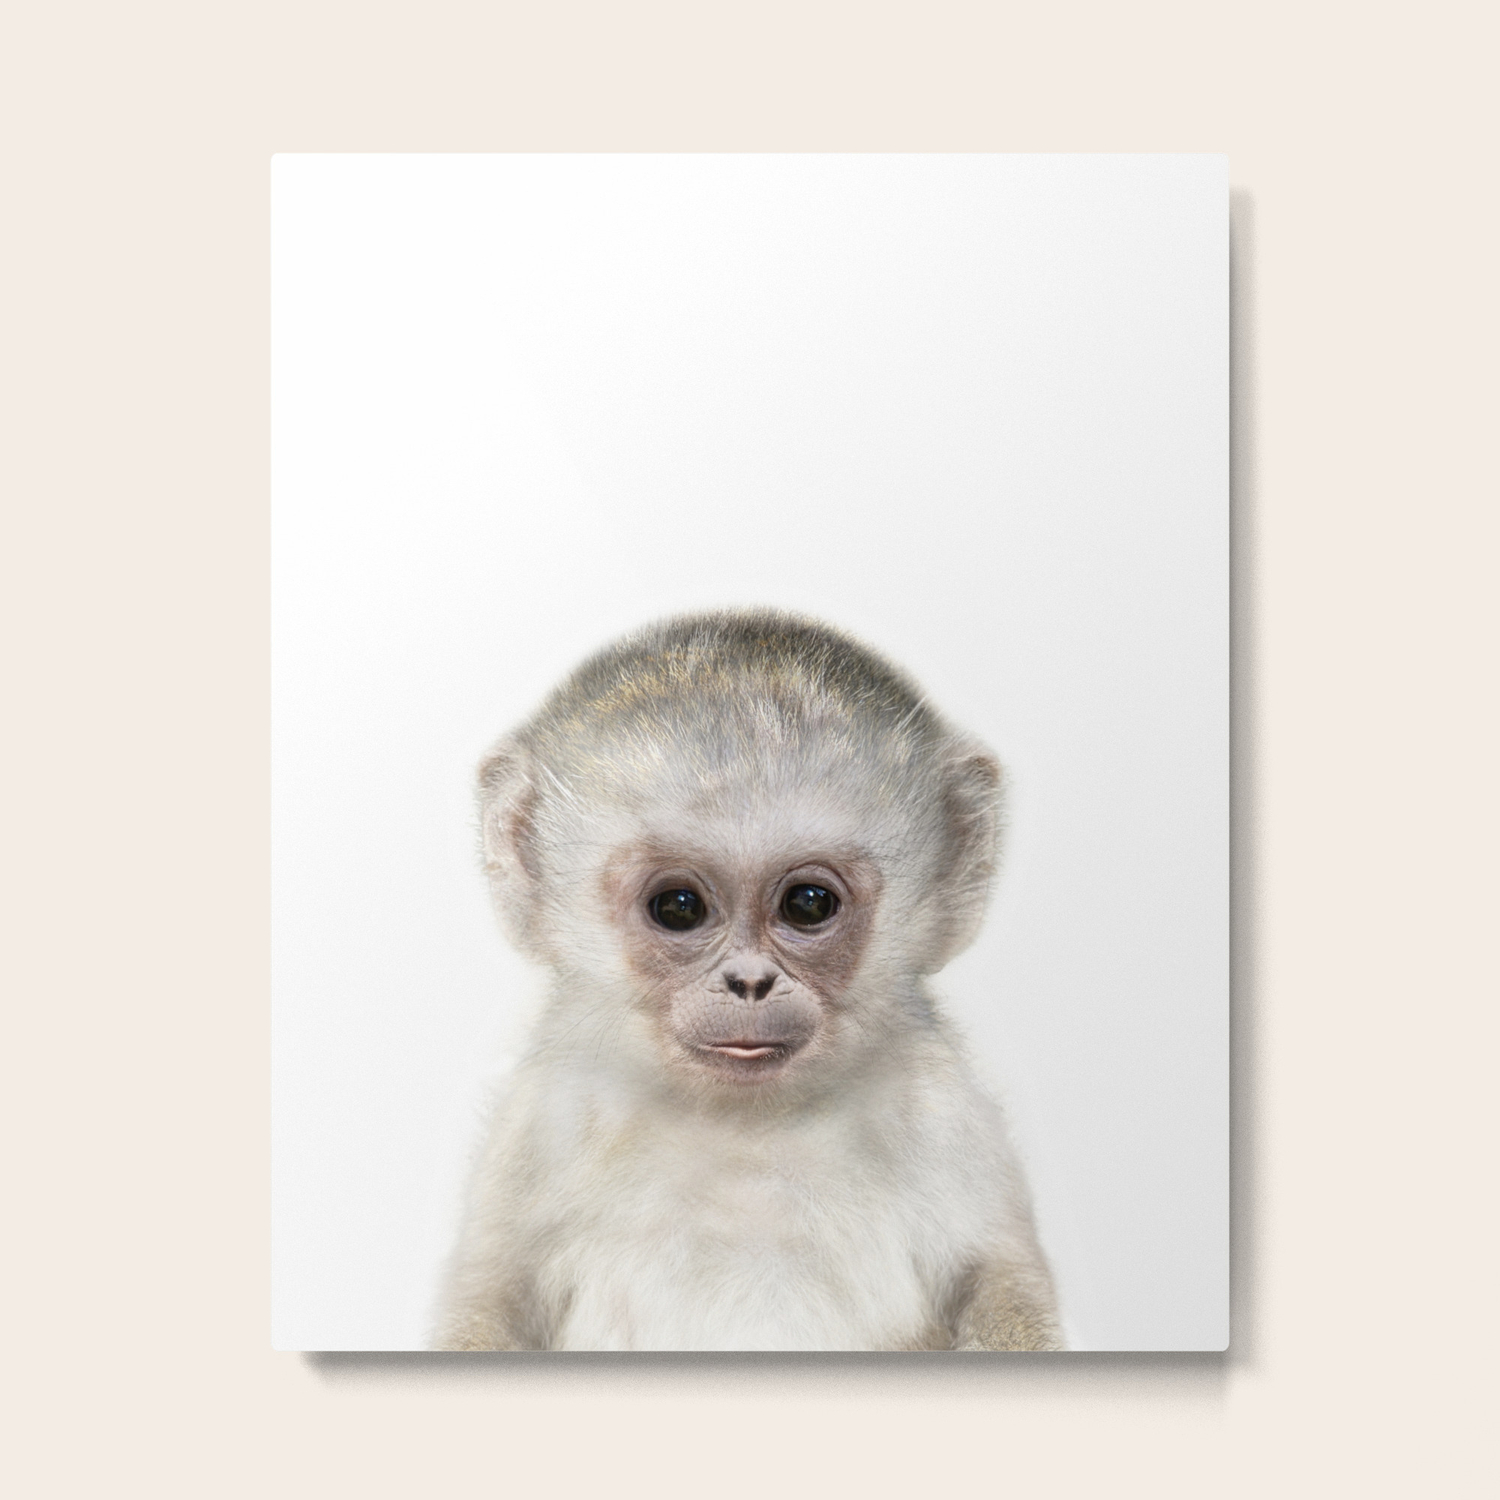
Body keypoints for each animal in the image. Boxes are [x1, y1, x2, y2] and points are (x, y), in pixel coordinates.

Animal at [434, 609, 1063, 1351]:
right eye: (678, 907)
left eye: (808, 904)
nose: (750, 983)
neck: (744, 1127)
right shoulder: (543, 1117)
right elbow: (491, 1302)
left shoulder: (942, 1108)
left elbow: (1000, 1284)